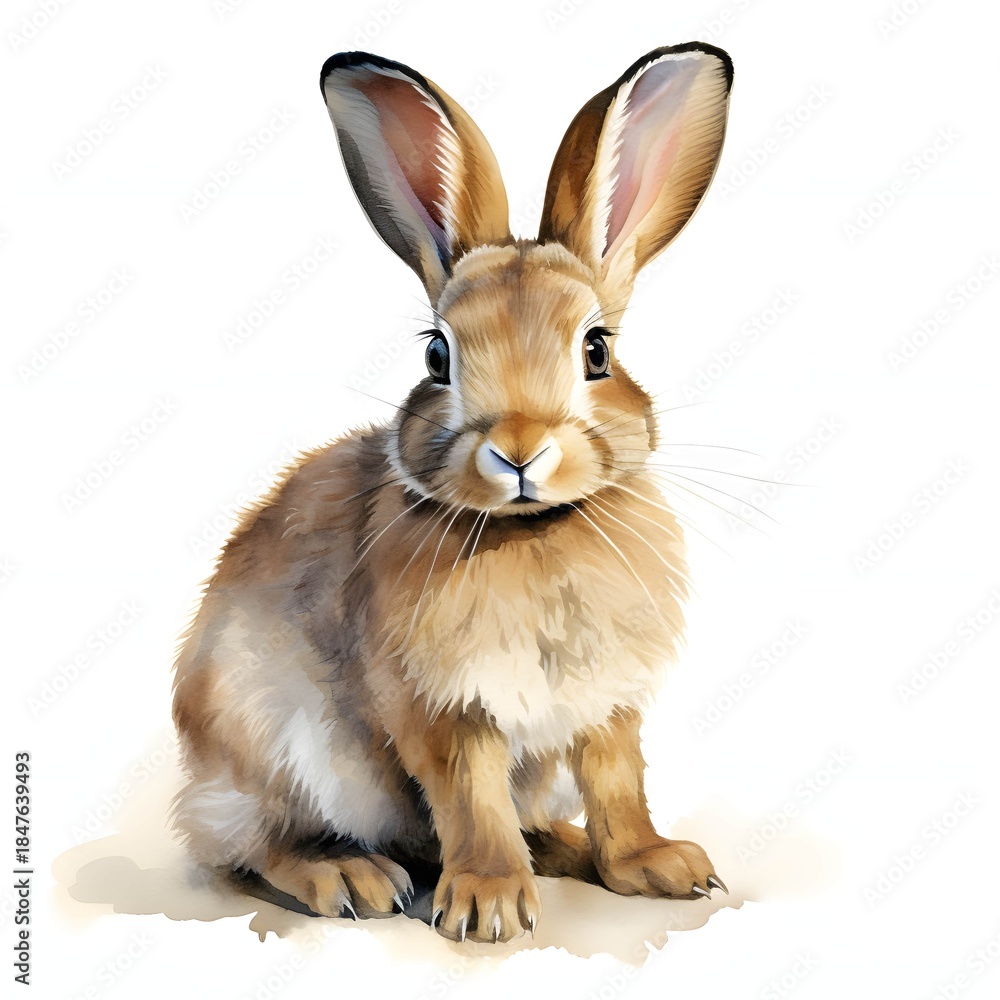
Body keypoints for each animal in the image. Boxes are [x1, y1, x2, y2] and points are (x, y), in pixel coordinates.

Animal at [171, 42, 733, 944]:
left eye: (598, 351)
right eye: (438, 356)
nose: (519, 451)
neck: (532, 530)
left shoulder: (606, 706)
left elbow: (617, 783)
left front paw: (660, 867)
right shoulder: (441, 708)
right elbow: (471, 800)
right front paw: (490, 904)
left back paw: (560, 846)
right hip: (269, 740)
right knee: (254, 846)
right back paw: (351, 877)